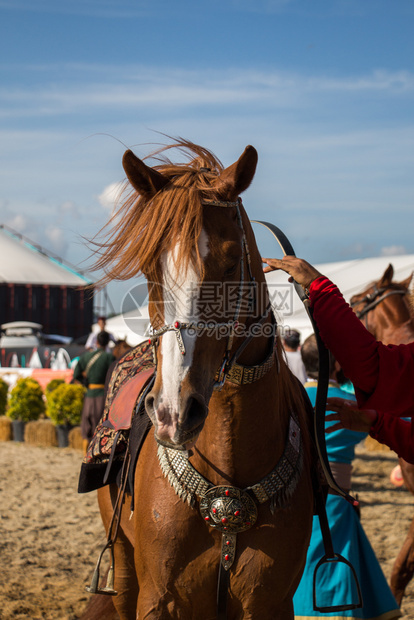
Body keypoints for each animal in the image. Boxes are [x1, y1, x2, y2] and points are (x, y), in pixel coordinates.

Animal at [94, 142, 314, 620]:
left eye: (231, 262)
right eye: (149, 267)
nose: (174, 413)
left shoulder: (267, 601)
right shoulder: (160, 597)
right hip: (122, 566)